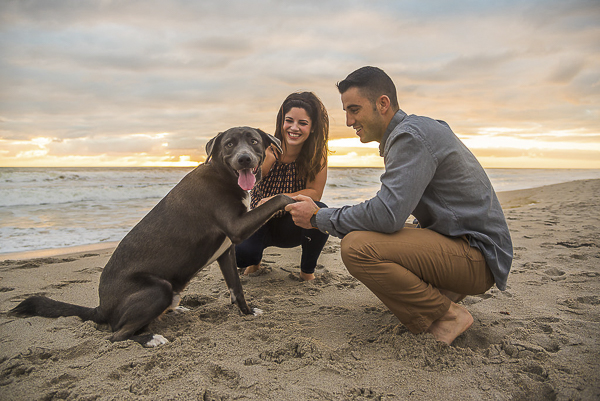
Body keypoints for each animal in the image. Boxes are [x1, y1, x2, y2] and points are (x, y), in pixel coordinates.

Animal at [11, 126, 296, 346]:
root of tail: (101, 308)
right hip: (159, 288)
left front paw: (247, 313)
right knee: (116, 335)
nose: (244, 159)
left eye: (254, 141)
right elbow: (279, 198)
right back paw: (149, 338)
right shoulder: (236, 229)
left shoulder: (226, 250)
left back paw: (174, 310)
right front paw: (297, 201)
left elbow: (237, 289)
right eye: (229, 144)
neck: (222, 174)